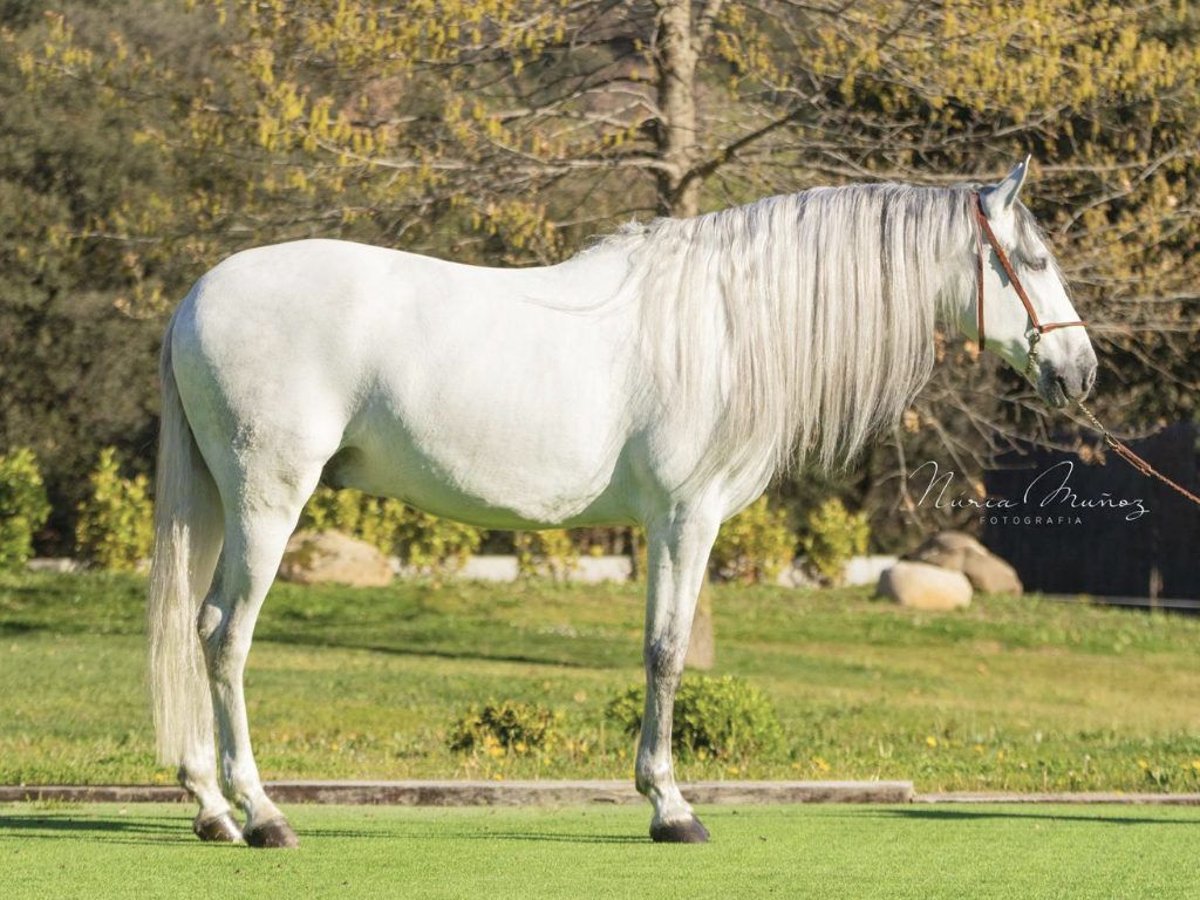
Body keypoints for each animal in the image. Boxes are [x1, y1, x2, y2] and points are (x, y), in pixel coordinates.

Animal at [150, 160, 1099, 844]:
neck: (725, 325)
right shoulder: (686, 518)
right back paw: (263, 814)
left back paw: (211, 809)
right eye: (1035, 261)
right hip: (267, 501)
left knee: (195, 625)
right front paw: (670, 807)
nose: (1081, 372)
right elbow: (666, 653)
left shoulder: (668, 524)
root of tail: (198, 295)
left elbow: (658, 650)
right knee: (226, 636)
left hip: (220, 505)